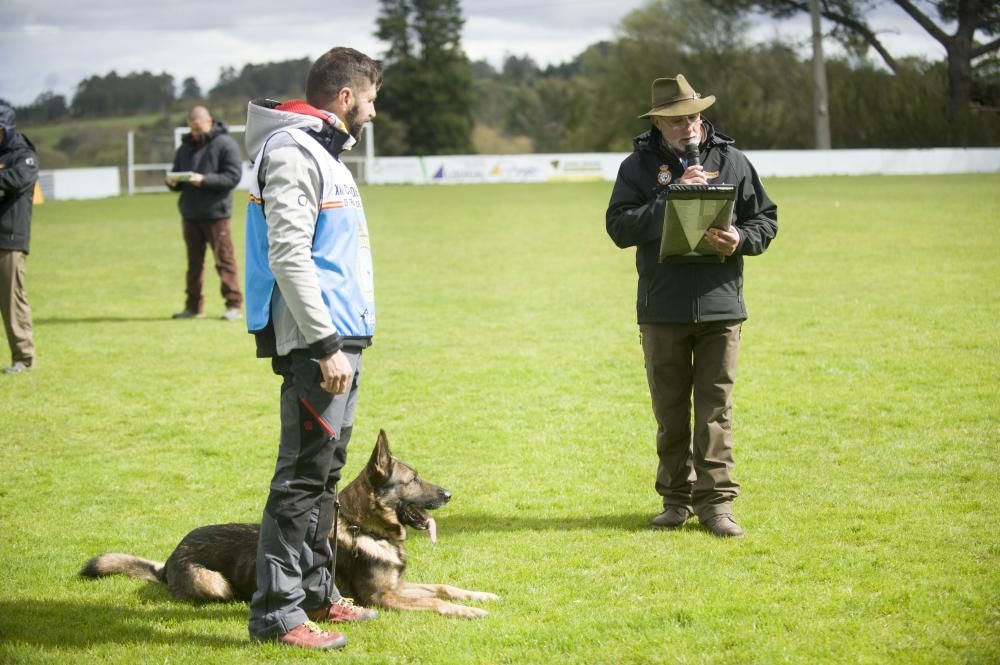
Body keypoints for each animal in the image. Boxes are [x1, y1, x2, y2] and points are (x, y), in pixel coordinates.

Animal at [83, 430, 500, 616]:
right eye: (412, 480)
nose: (449, 494)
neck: (364, 528)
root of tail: (169, 559)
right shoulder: (382, 597)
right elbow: (436, 602)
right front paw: (469, 612)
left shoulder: (400, 586)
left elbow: (443, 588)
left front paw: (481, 597)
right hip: (214, 584)